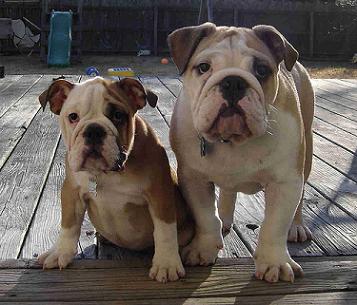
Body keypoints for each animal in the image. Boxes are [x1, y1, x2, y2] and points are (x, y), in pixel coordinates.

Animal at [36, 77, 193, 282]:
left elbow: (164, 229)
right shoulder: (72, 191)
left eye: (118, 115)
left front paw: (166, 263)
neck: (108, 173)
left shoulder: (160, 192)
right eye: (73, 117)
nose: (94, 130)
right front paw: (60, 252)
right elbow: (69, 225)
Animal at [167, 22, 312, 282]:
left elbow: (275, 224)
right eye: (203, 67)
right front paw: (203, 248)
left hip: (306, 156)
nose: (233, 82)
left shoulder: (285, 182)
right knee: (227, 192)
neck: (233, 140)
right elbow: (205, 216)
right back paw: (224, 219)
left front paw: (274, 262)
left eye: (262, 70)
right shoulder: (193, 179)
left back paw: (296, 226)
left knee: (300, 196)